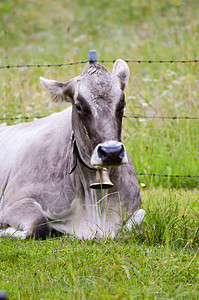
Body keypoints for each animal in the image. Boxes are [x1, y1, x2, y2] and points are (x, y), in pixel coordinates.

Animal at [0, 59, 145, 240]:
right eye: (78, 106)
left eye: (122, 103)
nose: (111, 152)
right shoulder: (12, 203)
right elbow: (39, 225)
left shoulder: (135, 208)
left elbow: (138, 219)